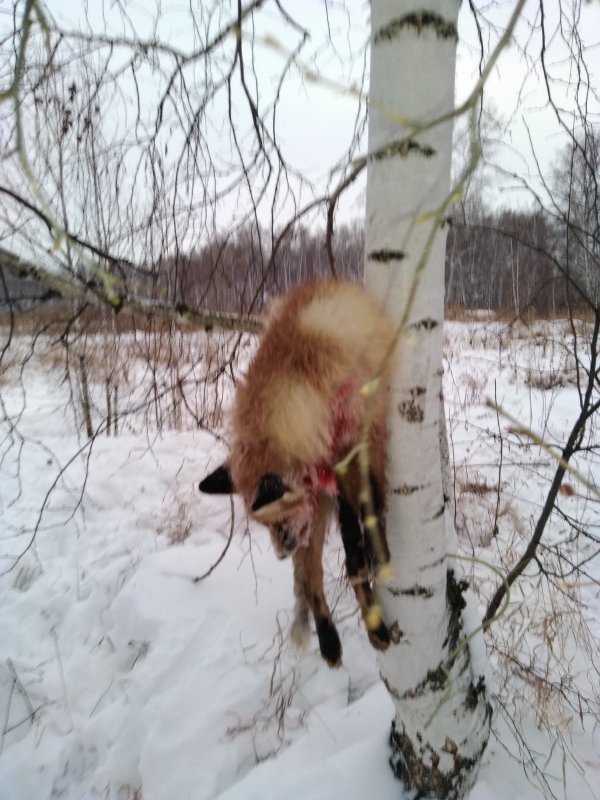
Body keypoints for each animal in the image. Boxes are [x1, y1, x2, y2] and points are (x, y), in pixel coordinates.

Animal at [199, 279, 394, 666]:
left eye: (276, 518)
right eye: (263, 525)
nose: (279, 554)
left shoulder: (356, 444)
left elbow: (363, 526)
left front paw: (377, 554)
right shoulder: (327, 483)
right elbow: (330, 564)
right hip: (316, 514)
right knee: (312, 578)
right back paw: (332, 640)